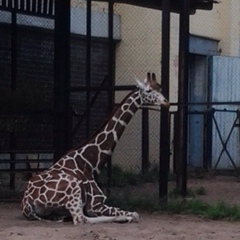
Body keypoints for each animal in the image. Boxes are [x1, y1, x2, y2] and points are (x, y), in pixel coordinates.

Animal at [21, 72, 170, 224]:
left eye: (160, 88)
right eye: (148, 90)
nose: (166, 102)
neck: (91, 161)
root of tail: (28, 202)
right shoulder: (96, 203)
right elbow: (135, 214)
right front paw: (126, 216)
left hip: (56, 211)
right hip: (73, 189)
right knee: (81, 219)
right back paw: (122, 217)